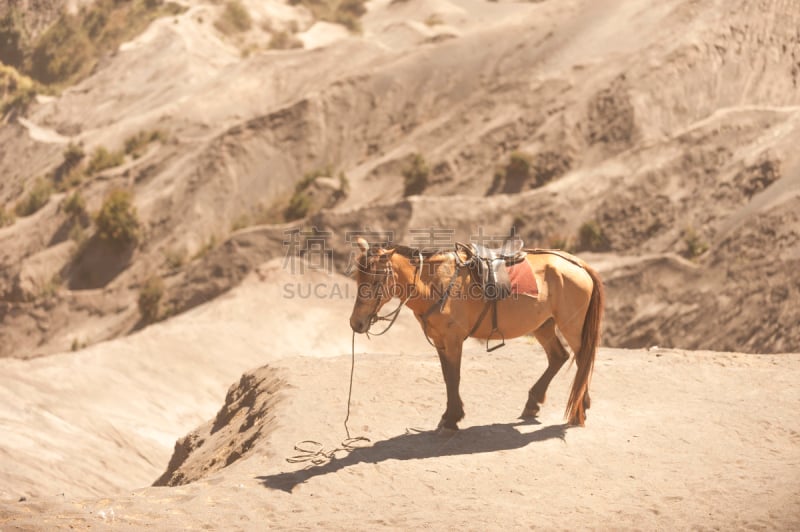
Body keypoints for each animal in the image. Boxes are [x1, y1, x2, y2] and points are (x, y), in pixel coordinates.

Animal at [350, 239, 608, 430]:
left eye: (375, 281)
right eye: (358, 279)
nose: (356, 323)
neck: (434, 283)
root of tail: (578, 264)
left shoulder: (453, 341)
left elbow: (454, 378)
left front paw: (451, 419)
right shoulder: (440, 341)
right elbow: (447, 377)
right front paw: (450, 415)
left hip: (571, 326)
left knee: (582, 360)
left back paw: (579, 407)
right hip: (543, 325)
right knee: (559, 357)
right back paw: (537, 403)